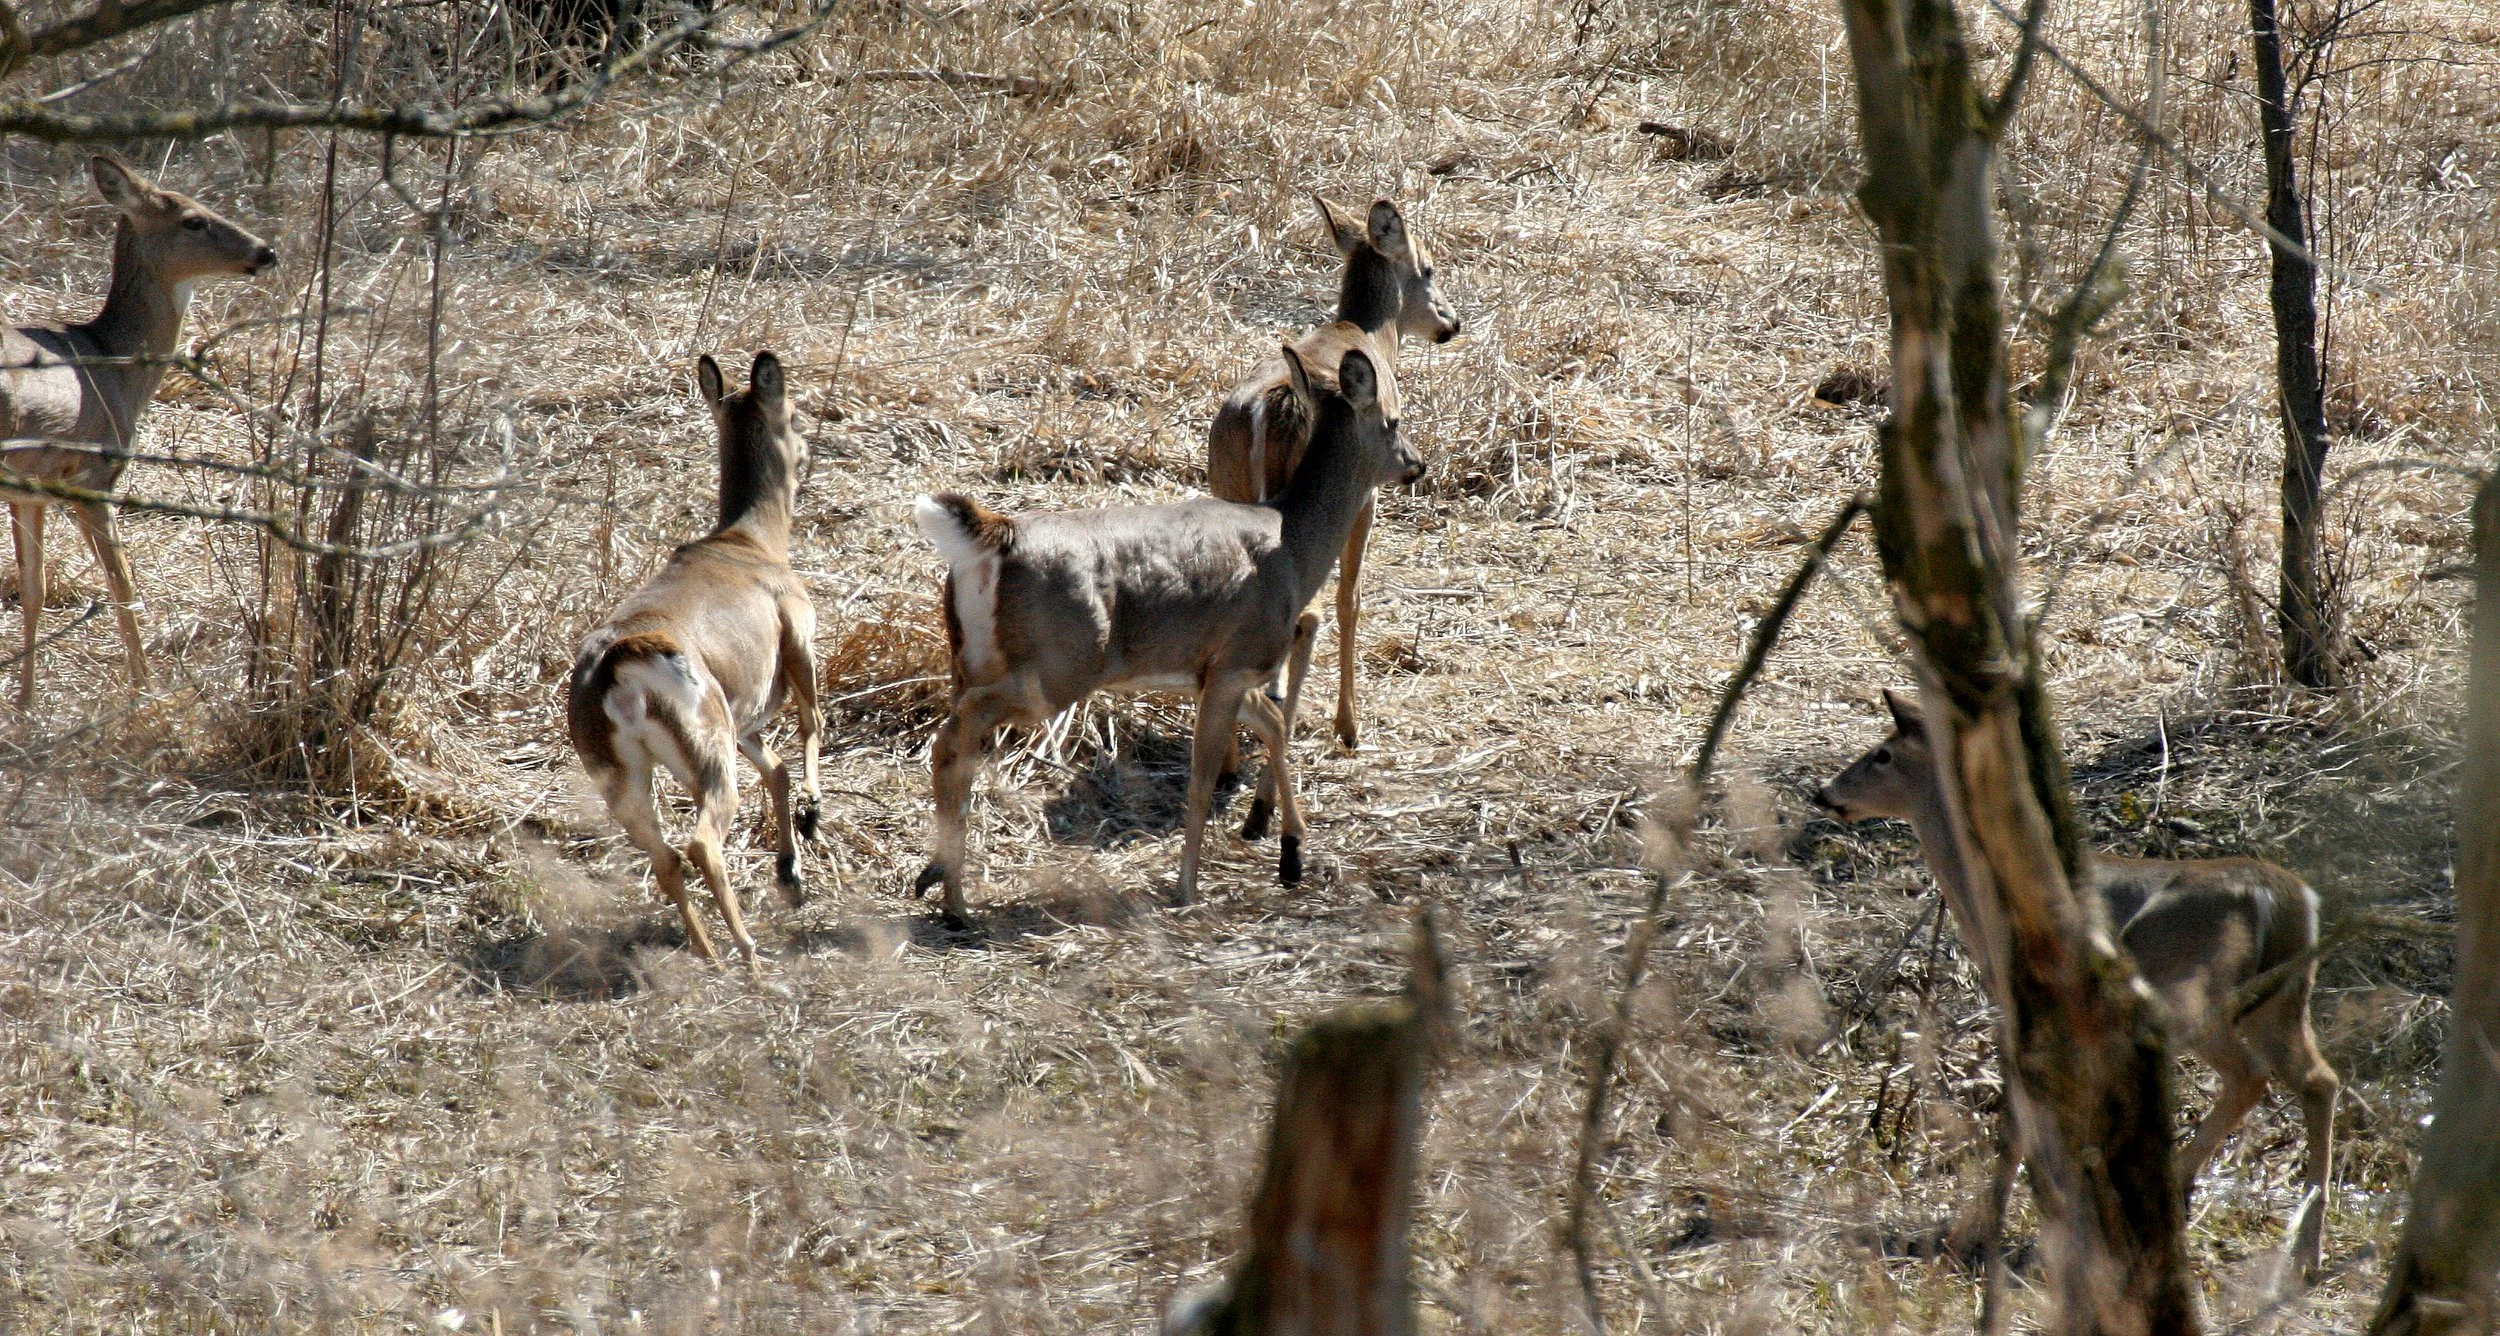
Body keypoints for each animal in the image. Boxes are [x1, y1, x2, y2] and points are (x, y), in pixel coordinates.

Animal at [2, 155, 278, 710]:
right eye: (193, 220)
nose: (266, 251)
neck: (117, 362)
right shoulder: (92, 476)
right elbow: (124, 587)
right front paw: (146, 694)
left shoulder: (29, 489)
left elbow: (33, 589)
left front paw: (24, 706)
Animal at [566, 352, 822, 976]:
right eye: (795, 415)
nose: (811, 450)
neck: (753, 543)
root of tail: (616, 668)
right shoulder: (799, 637)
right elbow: (812, 726)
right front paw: (814, 812)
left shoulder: (745, 714)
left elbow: (776, 769)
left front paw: (791, 875)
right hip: (707, 745)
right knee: (702, 843)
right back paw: (750, 954)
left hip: (625, 775)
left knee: (665, 858)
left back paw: (710, 954)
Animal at [912, 339, 1420, 926]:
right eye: (1393, 419)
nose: (1417, 464)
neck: (1294, 551)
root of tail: (996, 534)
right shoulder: (1238, 660)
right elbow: (1201, 781)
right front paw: (1188, 886)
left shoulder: (1216, 668)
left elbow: (1271, 723)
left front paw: (1292, 855)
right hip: (1060, 663)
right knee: (955, 736)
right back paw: (953, 898)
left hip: (968, 659)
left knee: (959, 746)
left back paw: (942, 883)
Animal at [1204, 195, 1459, 761]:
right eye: (1429, 266)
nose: (1451, 322)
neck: (1369, 335)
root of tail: (1275, 406)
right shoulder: (1366, 495)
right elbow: (1351, 598)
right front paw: (1349, 726)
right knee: (1313, 611)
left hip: (1224, 482)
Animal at [1815, 689, 2339, 1278]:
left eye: (1881, 754)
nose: (1823, 793)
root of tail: (2287, 898)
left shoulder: (2025, 1000)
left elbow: (2020, 1114)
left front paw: (1969, 1234)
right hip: (2281, 1000)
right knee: (2318, 1079)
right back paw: (2307, 1248)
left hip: (2187, 985)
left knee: (2250, 1074)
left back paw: (2180, 1192)